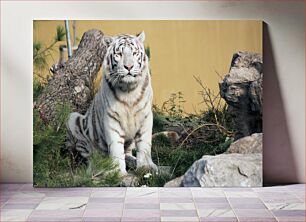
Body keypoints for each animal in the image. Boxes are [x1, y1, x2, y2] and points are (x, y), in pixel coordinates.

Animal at [67, 31, 158, 174]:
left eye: (134, 53)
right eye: (119, 54)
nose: (129, 67)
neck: (129, 90)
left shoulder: (146, 116)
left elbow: (144, 144)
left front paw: (145, 167)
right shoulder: (112, 118)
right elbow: (116, 148)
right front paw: (118, 172)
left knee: (127, 152)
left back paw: (132, 160)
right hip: (72, 118)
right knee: (90, 154)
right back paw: (99, 164)